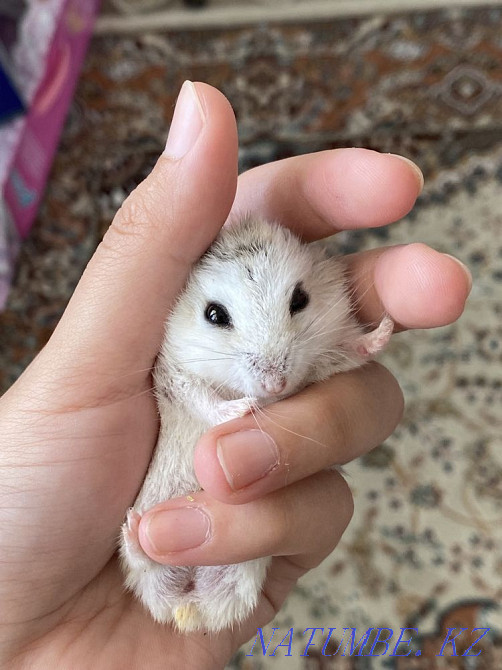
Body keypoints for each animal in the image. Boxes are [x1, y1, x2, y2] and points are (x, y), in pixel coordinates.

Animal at [119, 216, 393, 633]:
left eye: (300, 299)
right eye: (214, 314)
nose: (275, 385)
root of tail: (190, 609)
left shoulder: (323, 360)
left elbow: (347, 352)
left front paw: (385, 328)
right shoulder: (173, 374)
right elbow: (204, 399)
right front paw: (245, 409)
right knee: (142, 564)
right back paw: (135, 530)